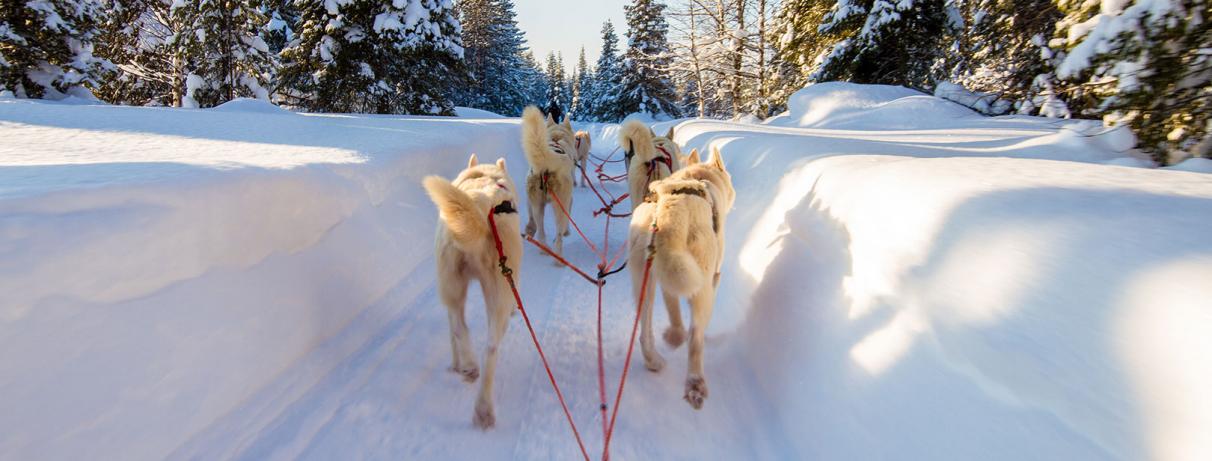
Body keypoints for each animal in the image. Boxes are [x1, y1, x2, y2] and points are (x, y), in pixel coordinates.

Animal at [421, 154, 521, 429]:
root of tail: (481, 202)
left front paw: (456, 364)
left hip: (456, 285)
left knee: (464, 329)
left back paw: (470, 373)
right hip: (495, 289)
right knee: (488, 345)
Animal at [521, 106, 576, 257]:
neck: (556, 138)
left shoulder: (530, 202)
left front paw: (529, 229)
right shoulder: (569, 200)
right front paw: (567, 231)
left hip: (537, 205)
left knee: (540, 231)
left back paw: (544, 248)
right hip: (560, 205)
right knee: (558, 234)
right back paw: (558, 256)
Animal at [630, 145, 732, 407]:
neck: (699, 176)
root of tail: (670, 214)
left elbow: (673, 305)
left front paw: (674, 334)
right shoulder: (714, 276)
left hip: (646, 280)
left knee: (646, 331)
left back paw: (657, 356)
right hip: (701, 284)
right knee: (695, 339)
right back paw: (695, 383)